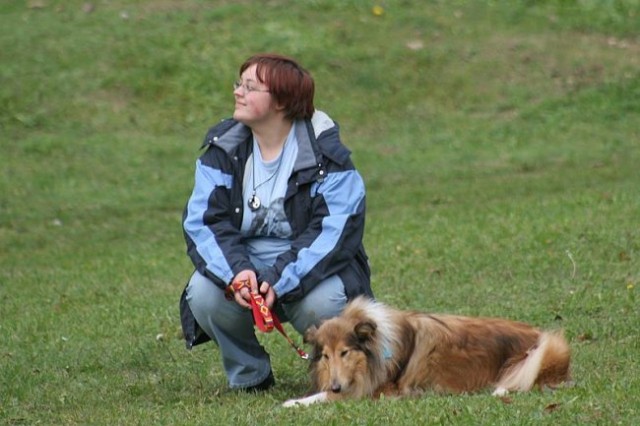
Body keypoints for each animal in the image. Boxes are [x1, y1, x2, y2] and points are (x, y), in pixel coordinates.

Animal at [284, 296, 568, 406]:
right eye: (326, 356)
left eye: (345, 352)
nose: (335, 386)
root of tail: (539, 335)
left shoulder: (376, 390)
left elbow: (322, 397)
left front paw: (292, 403)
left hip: (543, 352)